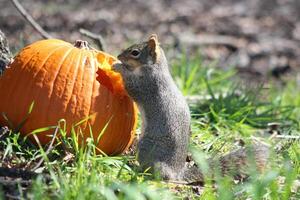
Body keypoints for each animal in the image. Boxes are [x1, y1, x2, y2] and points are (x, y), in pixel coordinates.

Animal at [112, 34, 270, 183]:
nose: (119, 56)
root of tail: (176, 173)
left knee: (156, 174)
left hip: (146, 147)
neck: (155, 67)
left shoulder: (147, 85)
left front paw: (118, 66)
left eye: (135, 52)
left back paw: (136, 168)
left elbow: (132, 87)